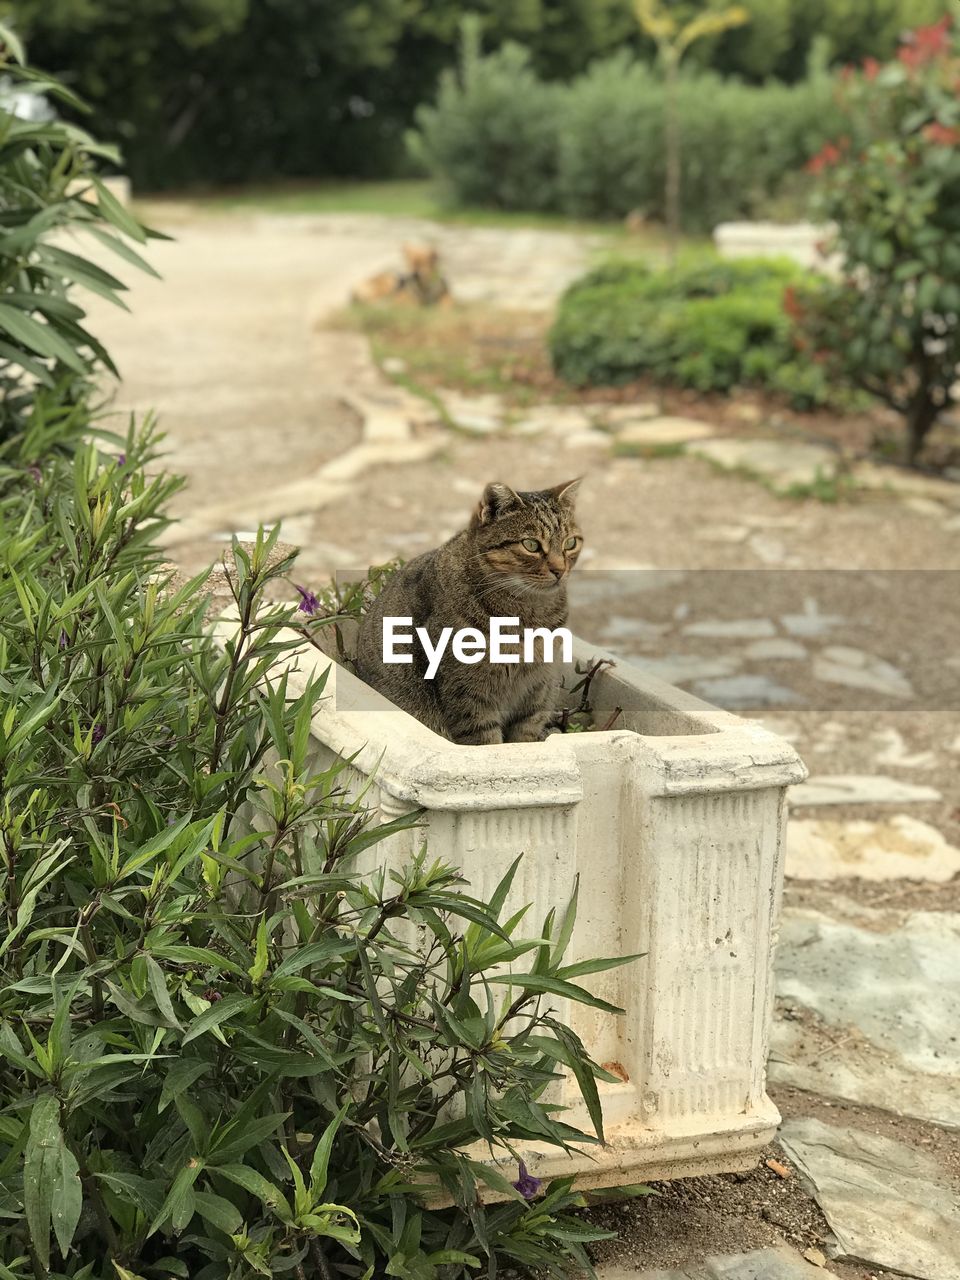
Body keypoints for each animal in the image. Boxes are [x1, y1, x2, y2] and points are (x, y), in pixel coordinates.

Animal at [358, 478, 586, 742]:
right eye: (531, 545)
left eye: (570, 543)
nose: (560, 570)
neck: (531, 611)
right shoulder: (468, 693)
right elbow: (486, 740)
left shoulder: (537, 687)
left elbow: (525, 733)